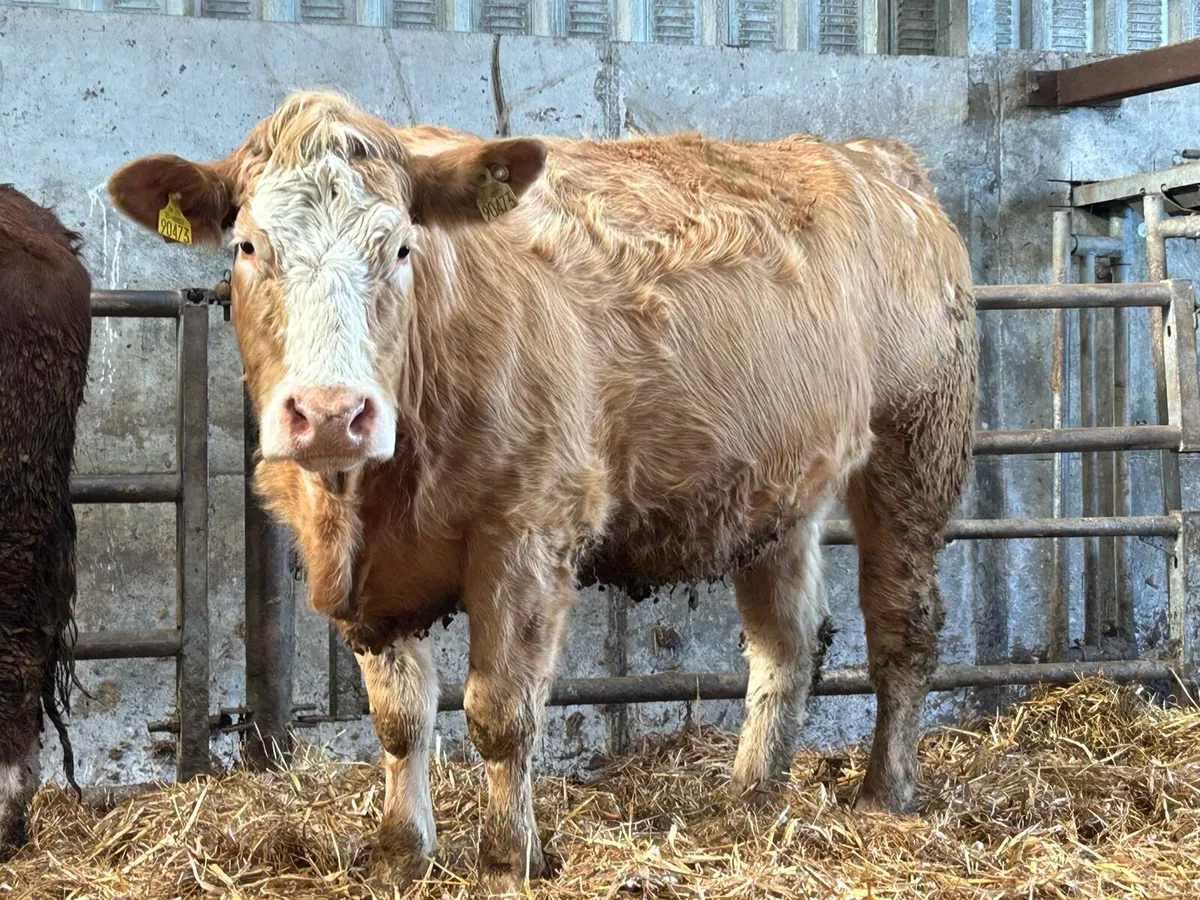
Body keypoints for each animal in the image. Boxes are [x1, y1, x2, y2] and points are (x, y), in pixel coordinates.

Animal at [107, 90, 977, 887]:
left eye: (401, 248)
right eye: (249, 245)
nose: (330, 415)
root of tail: (874, 157)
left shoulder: (527, 533)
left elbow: (501, 713)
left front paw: (506, 859)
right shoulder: (360, 573)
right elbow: (400, 717)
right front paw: (401, 852)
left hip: (918, 443)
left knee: (904, 626)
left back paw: (884, 792)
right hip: (776, 494)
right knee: (787, 640)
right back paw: (753, 794)